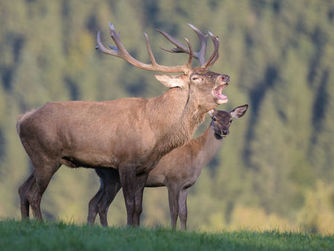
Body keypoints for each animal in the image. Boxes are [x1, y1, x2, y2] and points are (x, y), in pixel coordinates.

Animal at [16, 22, 230, 226]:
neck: (156, 132)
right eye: (195, 77)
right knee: (34, 194)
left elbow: (139, 207)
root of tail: (21, 120)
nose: (225, 76)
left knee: (22, 189)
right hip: (46, 156)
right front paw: (129, 228)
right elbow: (130, 204)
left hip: (39, 158)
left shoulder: (145, 168)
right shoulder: (126, 161)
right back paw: (39, 223)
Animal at [88, 104, 248, 229]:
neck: (196, 156)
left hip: (105, 180)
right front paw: (173, 231)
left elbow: (184, 213)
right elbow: (174, 211)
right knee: (102, 205)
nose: (224, 131)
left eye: (230, 120)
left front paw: (184, 232)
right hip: (113, 178)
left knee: (93, 202)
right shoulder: (172, 180)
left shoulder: (186, 186)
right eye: (214, 119)